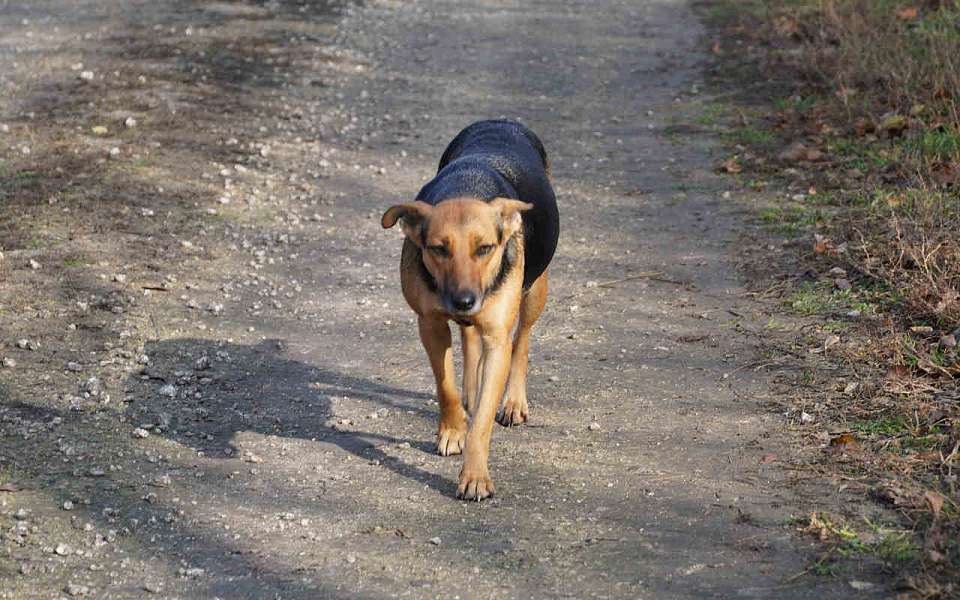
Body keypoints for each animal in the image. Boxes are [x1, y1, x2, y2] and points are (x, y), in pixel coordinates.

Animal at [382, 119, 560, 500]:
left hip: (535, 290)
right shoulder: (430, 324)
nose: (464, 300)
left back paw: (513, 402)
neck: (468, 185)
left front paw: (475, 476)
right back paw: (471, 391)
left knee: (522, 340)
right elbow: (445, 384)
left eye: (485, 248)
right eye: (438, 249)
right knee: (468, 340)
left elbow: (482, 421)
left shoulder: (496, 336)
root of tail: (501, 121)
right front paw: (452, 431)